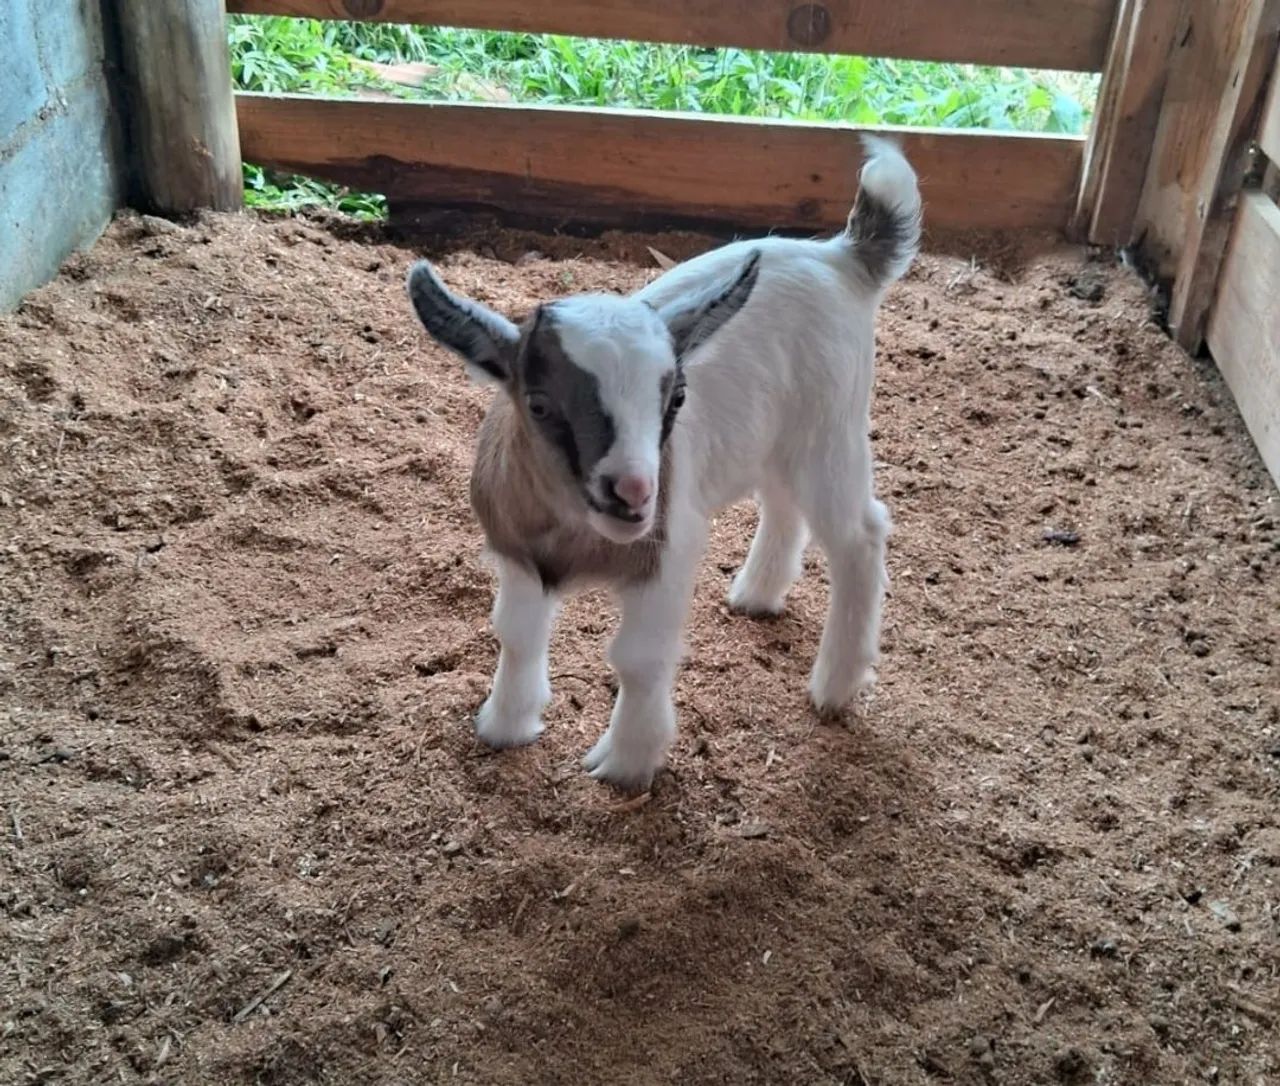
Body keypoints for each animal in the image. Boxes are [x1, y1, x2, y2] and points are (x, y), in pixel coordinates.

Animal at [406, 136, 921, 790]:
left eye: (675, 398)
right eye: (540, 404)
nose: (632, 493)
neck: (573, 536)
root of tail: (841, 257)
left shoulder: (669, 553)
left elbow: (638, 659)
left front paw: (627, 763)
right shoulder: (518, 554)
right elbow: (517, 635)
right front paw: (505, 724)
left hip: (830, 427)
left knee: (859, 535)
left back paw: (835, 686)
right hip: (772, 438)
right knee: (783, 505)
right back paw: (757, 594)